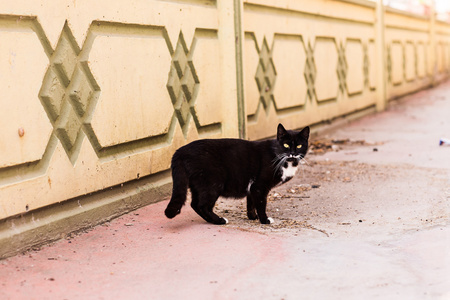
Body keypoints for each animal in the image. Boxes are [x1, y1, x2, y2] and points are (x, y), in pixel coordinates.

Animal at [164, 123, 310, 224]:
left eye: (299, 146)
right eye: (286, 145)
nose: (292, 153)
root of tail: (180, 151)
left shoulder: (252, 187)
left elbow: (251, 203)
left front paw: (252, 217)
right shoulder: (259, 186)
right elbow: (261, 203)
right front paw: (264, 220)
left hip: (197, 184)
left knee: (194, 204)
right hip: (213, 183)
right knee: (202, 205)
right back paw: (220, 221)